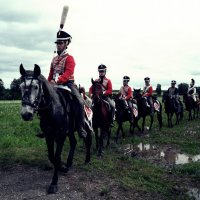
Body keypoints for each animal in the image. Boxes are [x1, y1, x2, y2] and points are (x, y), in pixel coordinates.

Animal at [18, 64, 92, 194]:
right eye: (20, 87)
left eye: (36, 87)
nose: (26, 114)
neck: (53, 109)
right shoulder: (49, 135)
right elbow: (51, 156)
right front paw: (62, 167)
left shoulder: (61, 135)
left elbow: (56, 157)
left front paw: (54, 183)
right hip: (70, 131)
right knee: (74, 142)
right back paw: (68, 164)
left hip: (86, 126)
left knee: (87, 140)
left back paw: (87, 160)